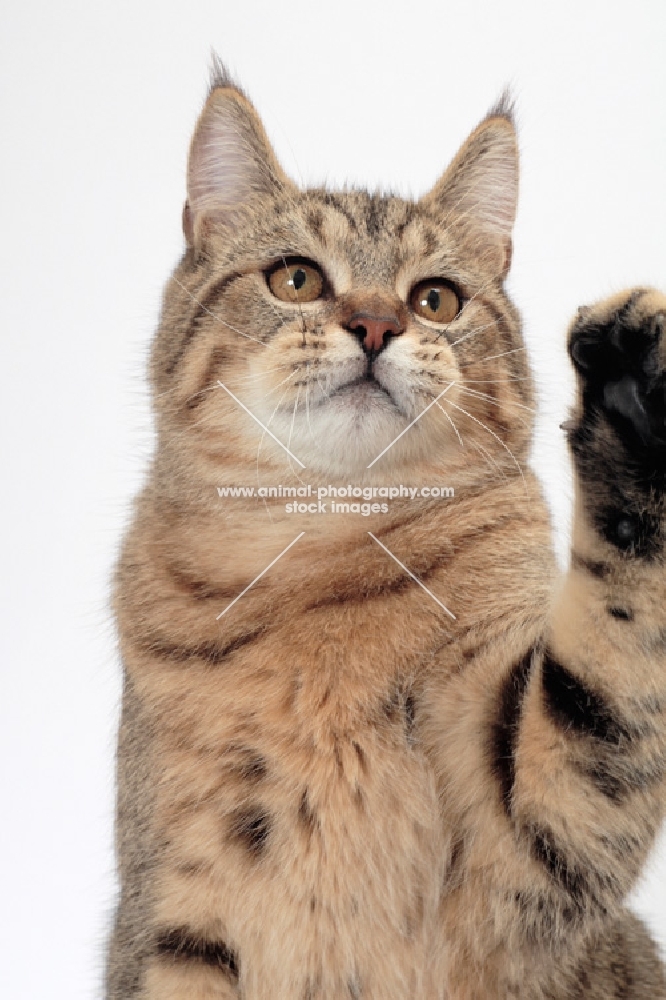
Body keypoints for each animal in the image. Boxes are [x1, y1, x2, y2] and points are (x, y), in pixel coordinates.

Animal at [107, 58, 664, 996]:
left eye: (436, 299)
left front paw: (635, 400)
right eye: (296, 279)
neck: (322, 549)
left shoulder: (530, 845)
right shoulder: (172, 907)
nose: (377, 324)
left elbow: (612, 674)